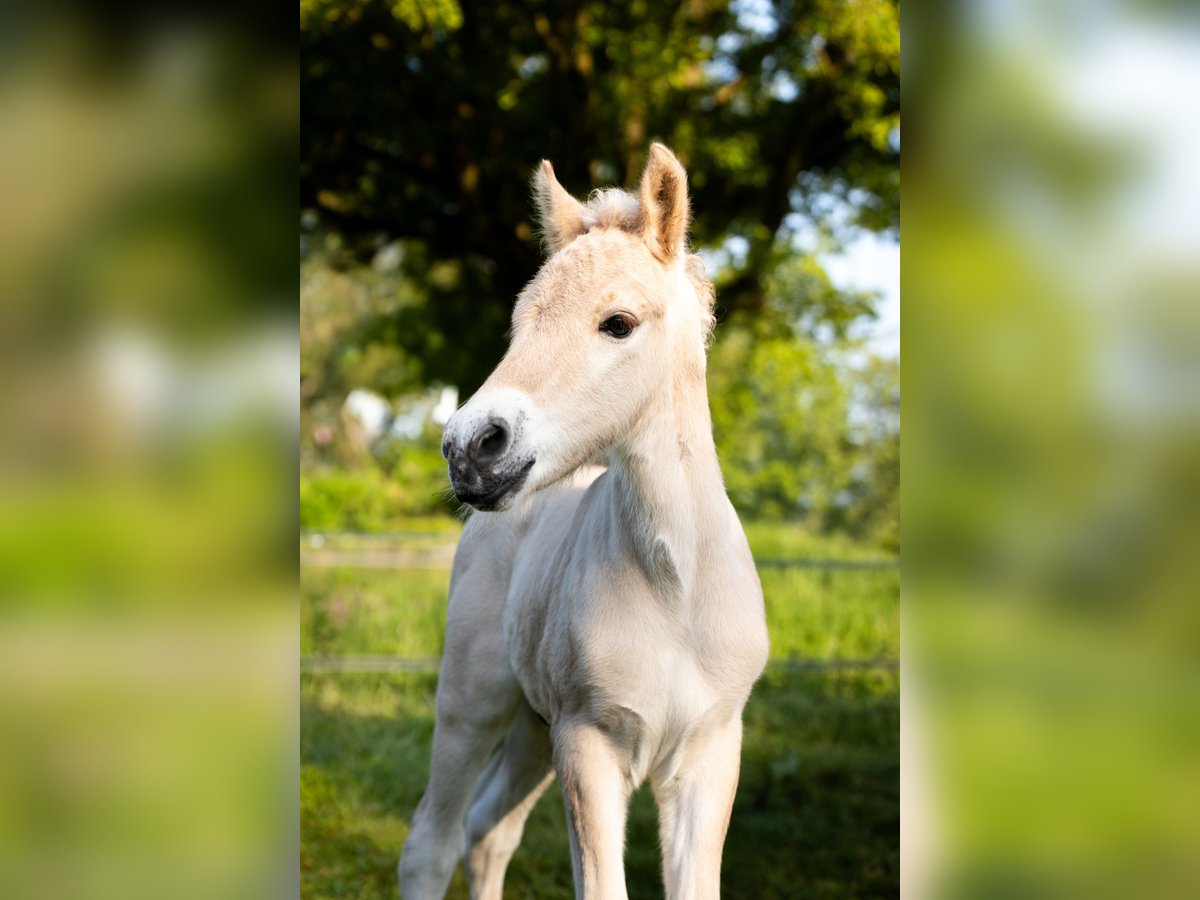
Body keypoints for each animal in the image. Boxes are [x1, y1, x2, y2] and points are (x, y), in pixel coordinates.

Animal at [396, 144, 768, 897]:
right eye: (519, 323)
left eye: (617, 322)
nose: (471, 448)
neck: (677, 590)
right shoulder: (589, 746)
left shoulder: (709, 758)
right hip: (474, 703)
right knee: (433, 843)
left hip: (533, 732)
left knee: (487, 834)